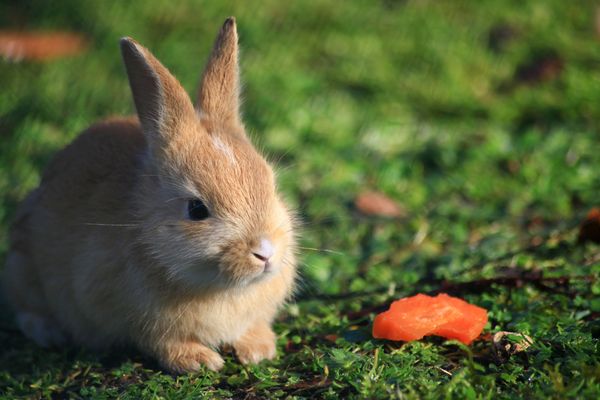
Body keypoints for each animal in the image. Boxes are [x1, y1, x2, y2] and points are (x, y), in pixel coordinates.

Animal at [1, 17, 298, 374]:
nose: (265, 253)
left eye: (271, 185)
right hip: (23, 268)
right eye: (196, 209)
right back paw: (49, 333)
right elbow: (161, 342)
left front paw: (258, 349)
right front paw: (198, 360)